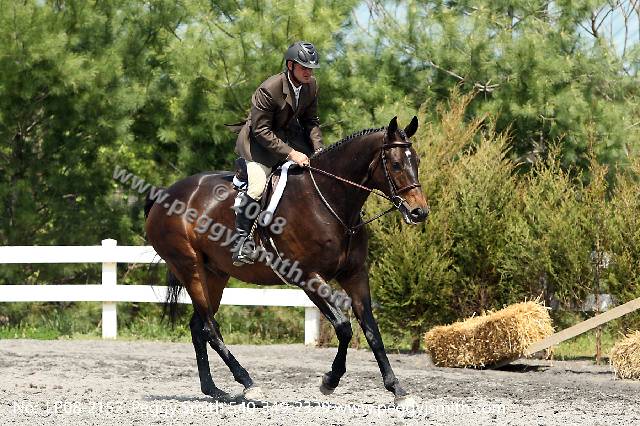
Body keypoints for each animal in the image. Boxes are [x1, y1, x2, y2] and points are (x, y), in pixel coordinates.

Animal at [144, 116, 429, 407]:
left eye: (417, 161)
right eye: (395, 164)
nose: (419, 212)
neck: (329, 200)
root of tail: (164, 194)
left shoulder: (355, 274)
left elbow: (371, 330)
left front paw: (397, 389)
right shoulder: (308, 277)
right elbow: (344, 327)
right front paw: (330, 381)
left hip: (214, 274)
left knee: (198, 327)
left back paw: (213, 389)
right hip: (190, 268)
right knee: (210, 328)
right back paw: (249, 384)